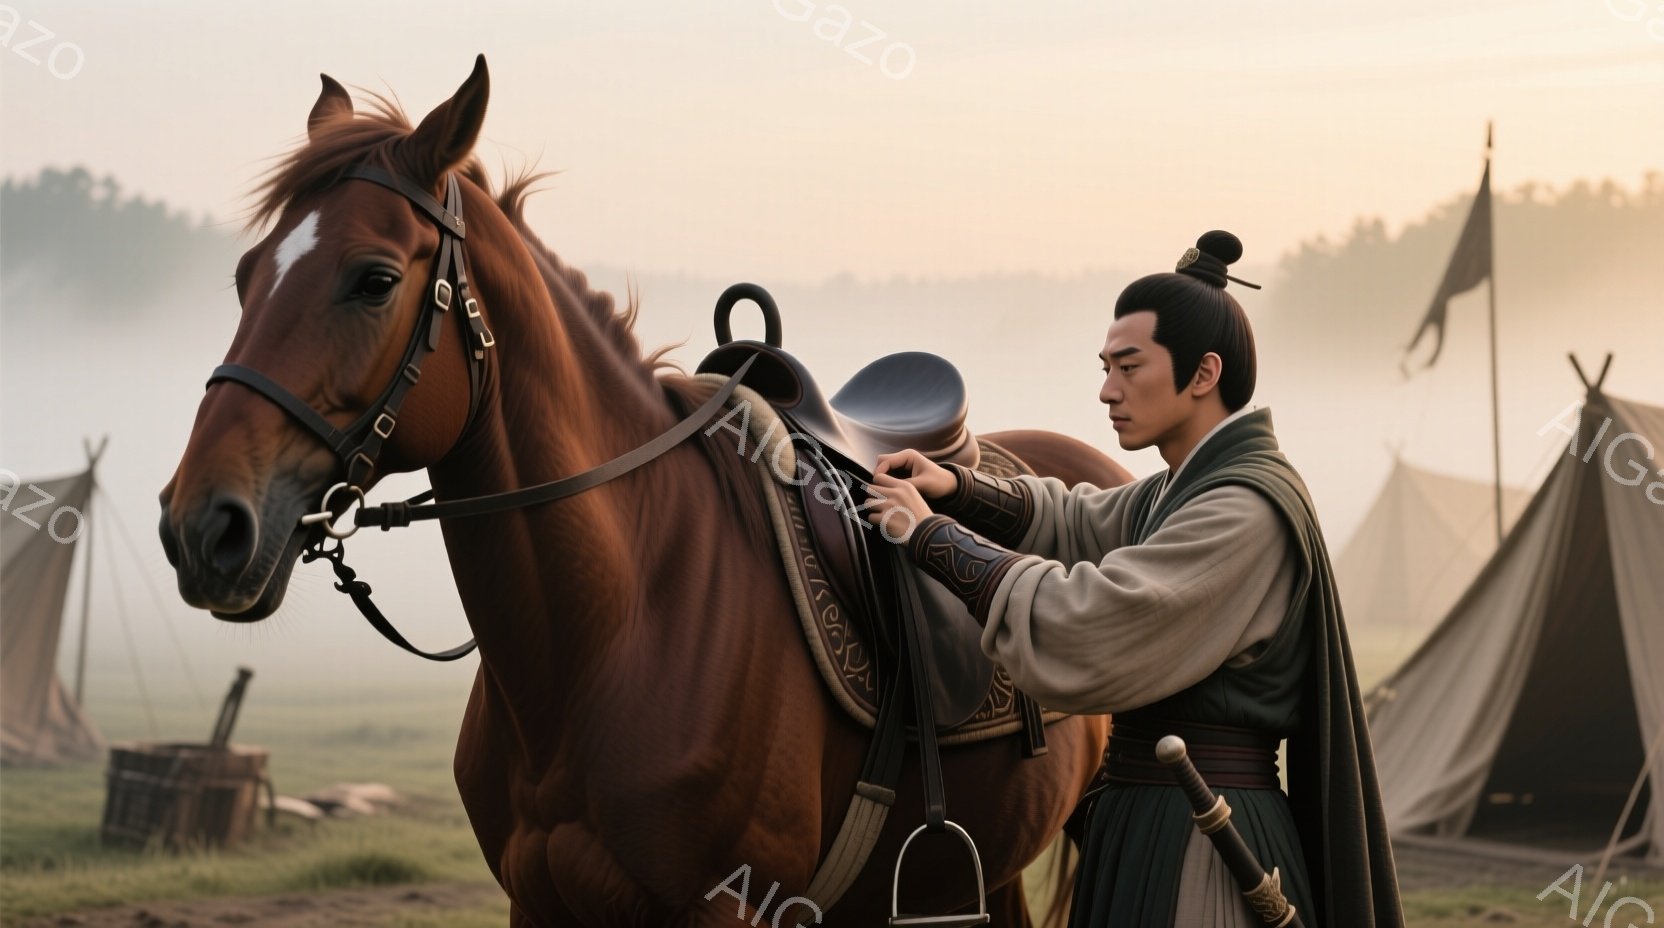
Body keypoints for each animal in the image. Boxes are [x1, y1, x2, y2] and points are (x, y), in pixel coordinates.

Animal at [158, 55, 1131, 926]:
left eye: (375, 280)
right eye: (245, 277)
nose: (202, 527)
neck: (620, 626)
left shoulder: (727, 909)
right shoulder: (537, 904)